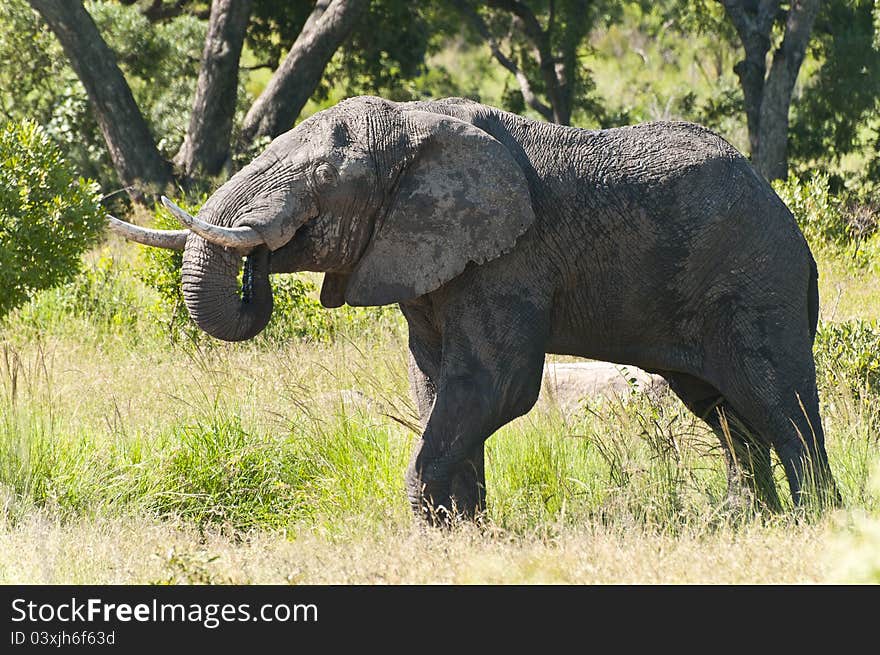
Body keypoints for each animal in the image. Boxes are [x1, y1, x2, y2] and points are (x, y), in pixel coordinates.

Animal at [110, 93, 840, 524]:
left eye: (323, 178)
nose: (257, 261)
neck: (415, 122)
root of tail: (791, 224)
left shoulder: (509, 259)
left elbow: (496, 385)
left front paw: (428, 525)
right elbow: (436, 384)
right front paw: (464, 529)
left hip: (757, 278)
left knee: (777, 401)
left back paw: (816, 521)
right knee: (725, 412)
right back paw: (744, 523)